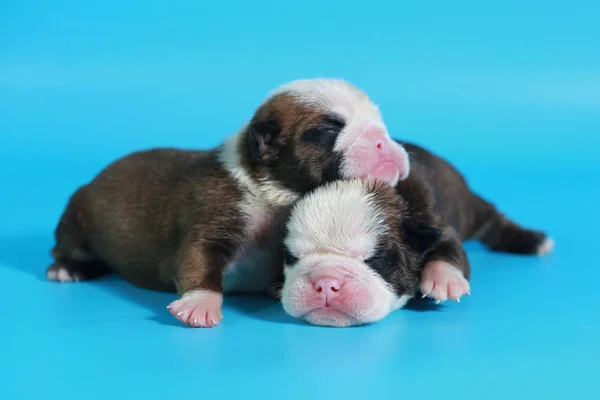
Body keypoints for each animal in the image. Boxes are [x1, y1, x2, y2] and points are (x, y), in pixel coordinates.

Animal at [45, 76, 412, 326]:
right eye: (327, 130)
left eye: (379, 125)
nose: (382, 140)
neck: (271, 193)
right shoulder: (215, 214)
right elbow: (200, 259)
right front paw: (200, 303)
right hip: (76, 217)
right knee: (66, 247)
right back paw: (66, 267)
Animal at [282, 145, 552, 326]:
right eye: (292, 258)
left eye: (375, 260)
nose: (325, 283)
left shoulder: (436, 224)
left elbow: (449, 249)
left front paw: (444, 279)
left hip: (470, 208)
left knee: (493, 220)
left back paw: (535, 241)